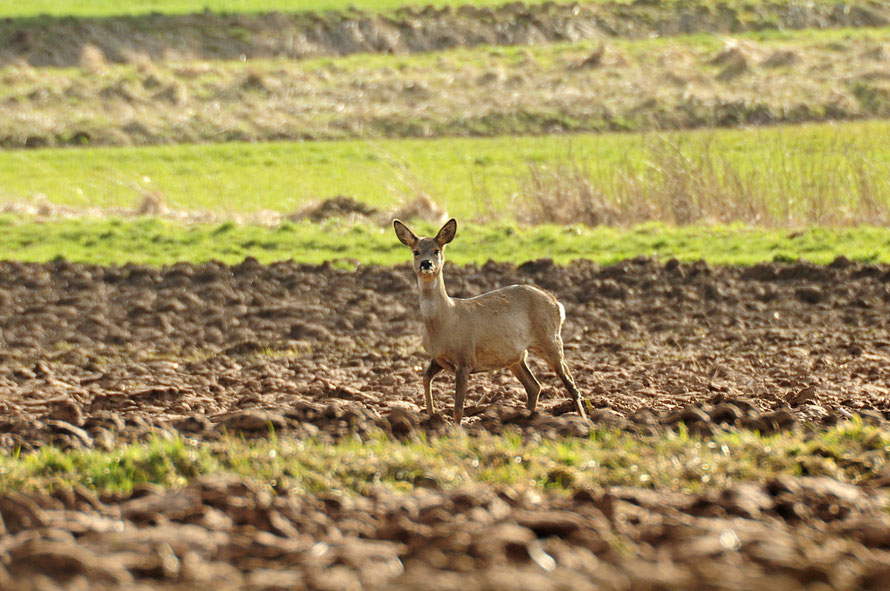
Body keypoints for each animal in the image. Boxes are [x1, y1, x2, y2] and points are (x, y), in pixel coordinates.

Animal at [392, 220, 588, 424]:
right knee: (534, 386)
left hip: (550, 338)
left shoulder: (465, 358)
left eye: (436, 250)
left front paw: (455, 428)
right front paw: (432, 417)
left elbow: (458, 408)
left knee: (570, 384)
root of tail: (556, 303)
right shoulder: (438, 358)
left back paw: (585, 421)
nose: (426, 263)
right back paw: (526, 419)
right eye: (416, 251)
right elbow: (425, 378)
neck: (445, 320)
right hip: (515, 356)